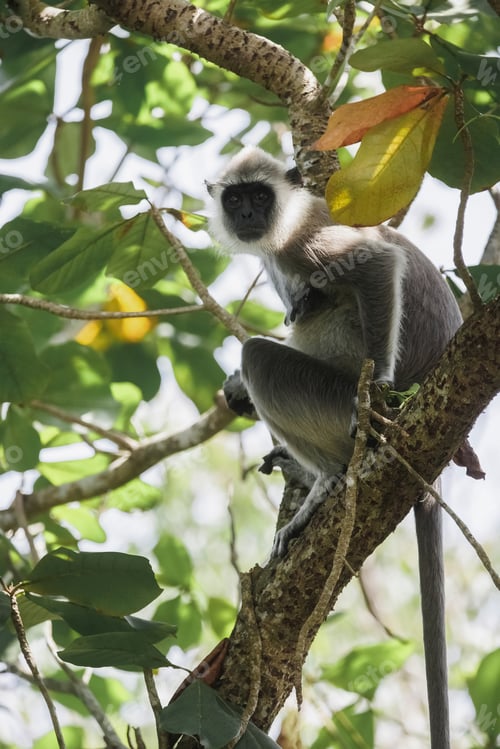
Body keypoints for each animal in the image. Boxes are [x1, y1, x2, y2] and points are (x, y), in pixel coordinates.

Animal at [206, 145, 463, 749]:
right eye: (236, 198)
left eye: (260, 197)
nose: (247, 215)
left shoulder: (304, 241)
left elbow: (376, 263)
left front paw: (383, 389)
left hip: (331, 394)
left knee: (262, 354)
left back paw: (327, 478)